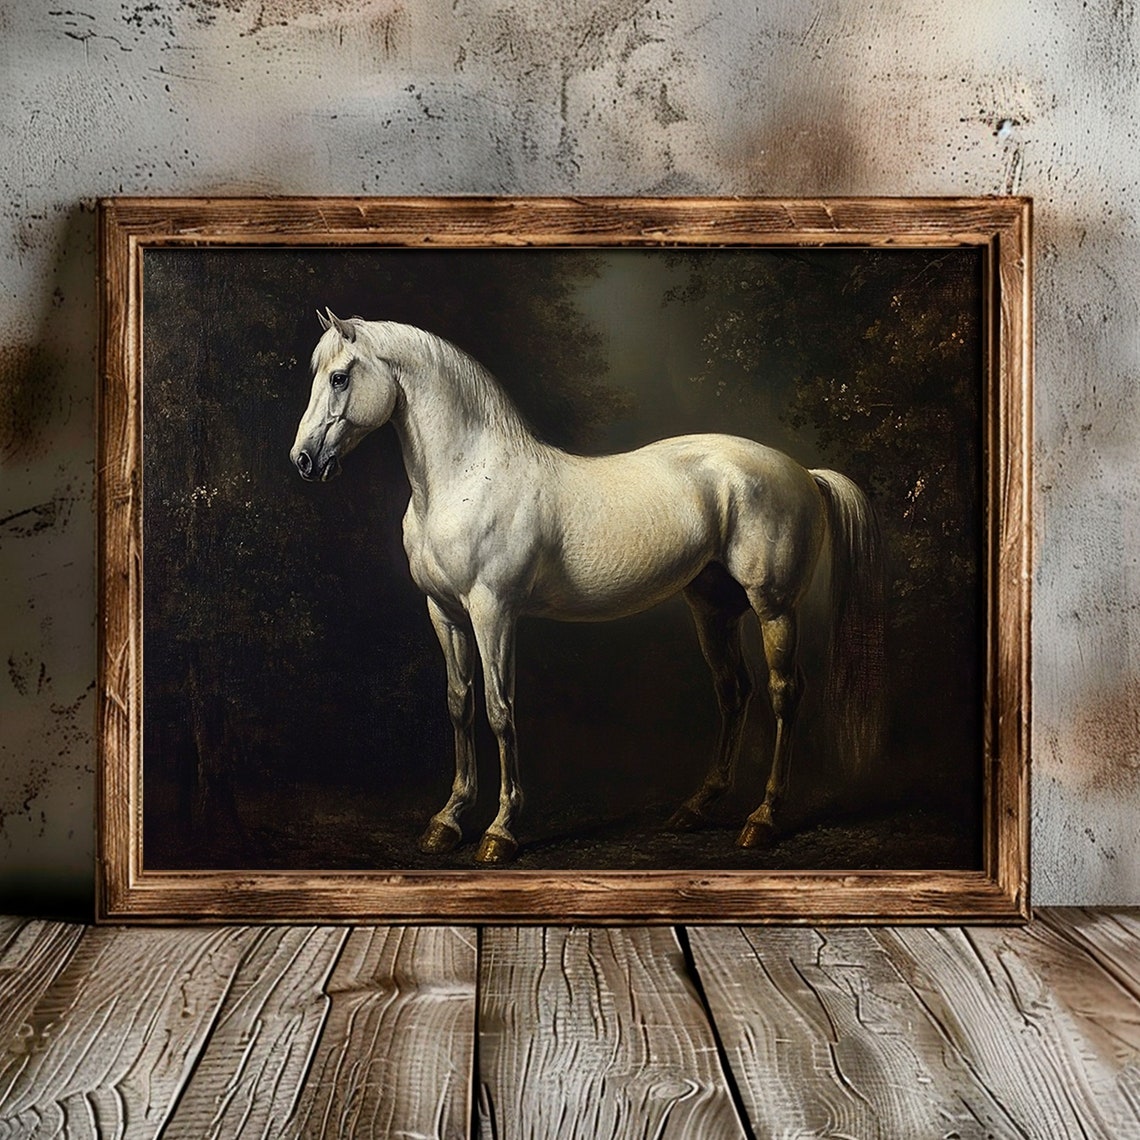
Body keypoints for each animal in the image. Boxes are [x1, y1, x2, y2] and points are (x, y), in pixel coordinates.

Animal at [290, 311, 884, 865]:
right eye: (316, 374)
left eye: (340, 377)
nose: (304, 460)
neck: (468, 479)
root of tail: (802, 471)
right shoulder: (444, 611)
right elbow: (459, 704)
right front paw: (448, 820)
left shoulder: (493, 611)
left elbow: (500, 709)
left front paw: (500, 830)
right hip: (713, 607)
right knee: (732, 689)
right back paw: (696, 807)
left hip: (774, 607)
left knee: (785, 692)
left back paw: (762, 819)